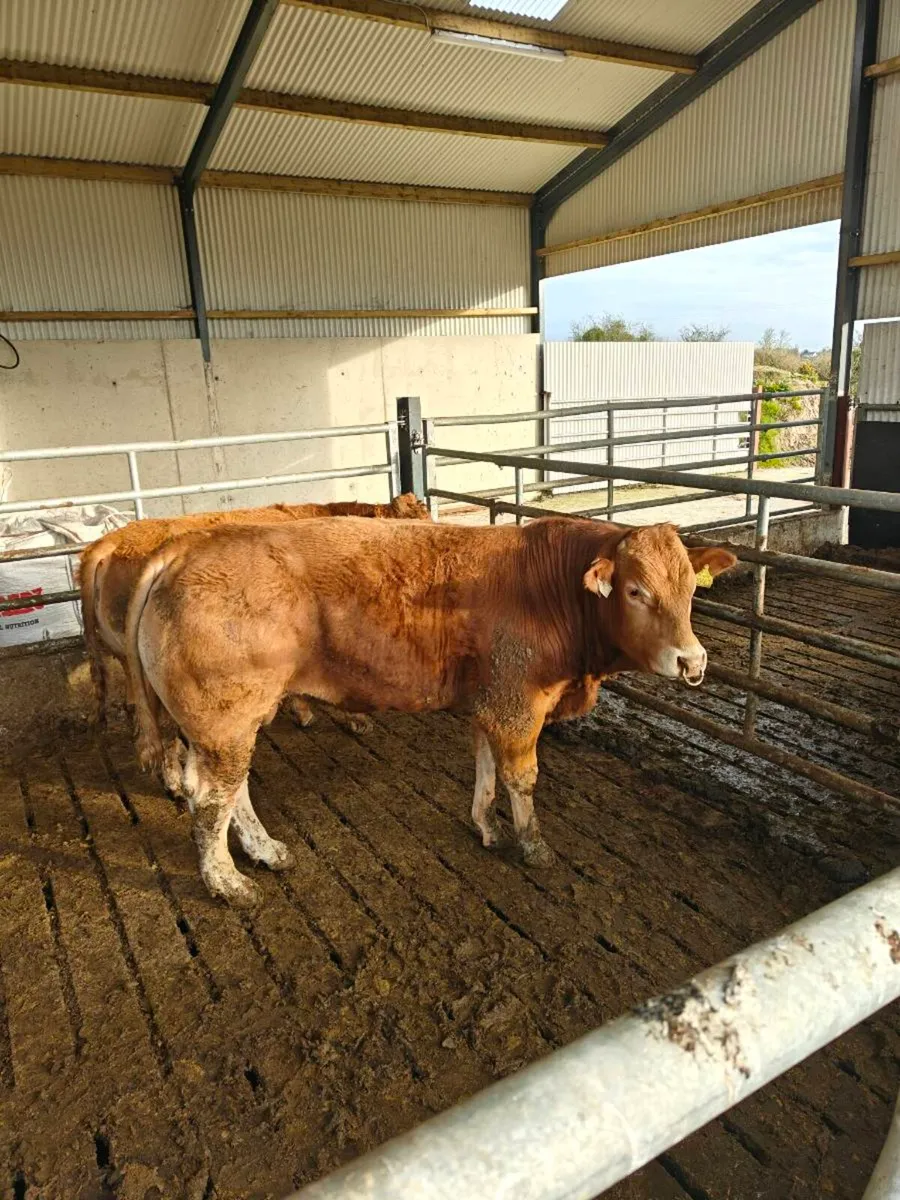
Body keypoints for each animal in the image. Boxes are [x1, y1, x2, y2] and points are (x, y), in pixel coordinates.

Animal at [78, 494, 428, 785]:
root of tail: (110, 541)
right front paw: (355, 719)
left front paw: (303, 711)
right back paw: (175, 781)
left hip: (128, 660)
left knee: (136, 708)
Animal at [124, 516, 735, 907]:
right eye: (635, 591)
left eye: (690, 589)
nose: (692, 660)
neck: (551, 590)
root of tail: (188, 547)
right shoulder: (517, 706)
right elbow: (521, 777)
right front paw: (533, 845)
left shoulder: (490, 702)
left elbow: (485, 769)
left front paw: (486, 825)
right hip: (224, 722)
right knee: (211, 800)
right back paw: (227, 884)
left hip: (229, 723)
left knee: (232, 791)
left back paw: (266, 850)